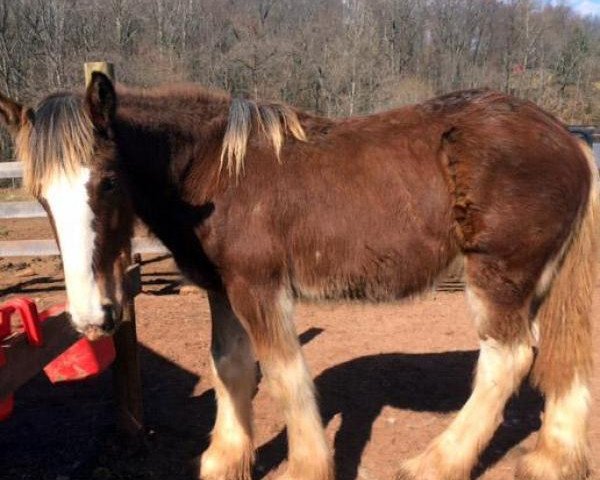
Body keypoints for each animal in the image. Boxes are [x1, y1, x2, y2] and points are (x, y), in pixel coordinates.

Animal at [2, 72, 596, 480]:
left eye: (106, 182)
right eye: (41, 197)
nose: (92, 318)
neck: (216, 172)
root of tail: (568, 139)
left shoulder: (259, 289)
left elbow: (285, 374)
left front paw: (307, 466)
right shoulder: (222, 290)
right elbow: (230, 366)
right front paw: (225, 458)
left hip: (498, 276)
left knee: (508, 358)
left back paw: (436, 463)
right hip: (544, 282)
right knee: (566, 353)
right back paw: (550, 459)